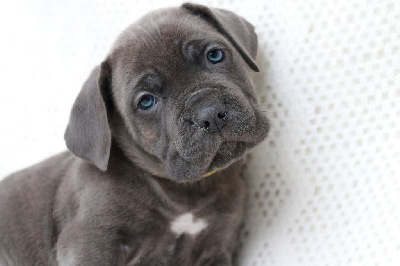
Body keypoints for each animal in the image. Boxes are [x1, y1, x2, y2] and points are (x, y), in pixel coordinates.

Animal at [0, 2, 268, 266]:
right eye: (146, 101)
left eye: (215, 55)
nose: (209, 113)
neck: (186, 191)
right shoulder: (90, 243)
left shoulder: (215, 248)